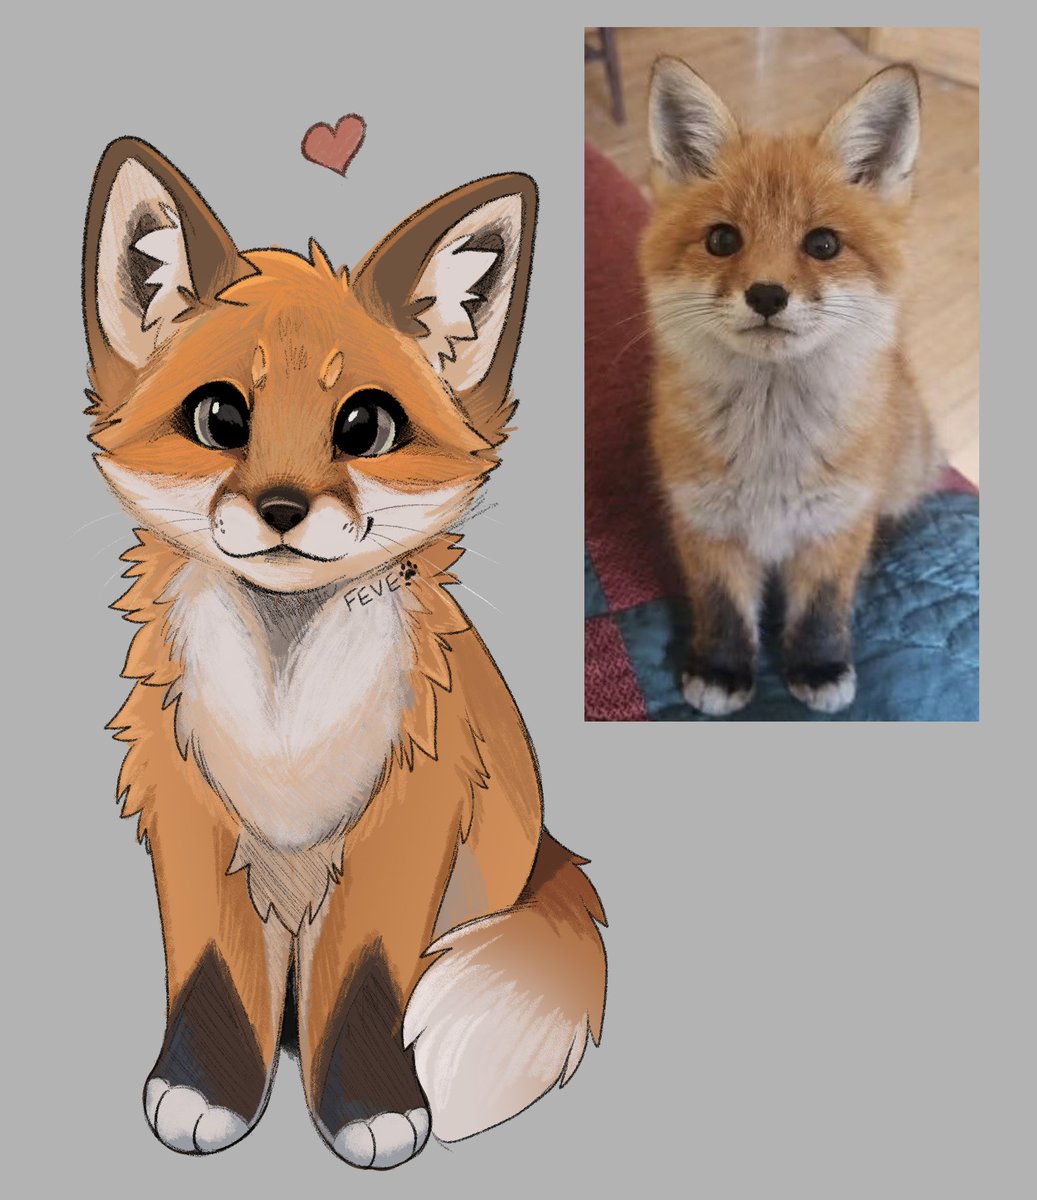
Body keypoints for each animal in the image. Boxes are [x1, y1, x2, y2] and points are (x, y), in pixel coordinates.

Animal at [82, 137, 605, 1167]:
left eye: (365, 426)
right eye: (219, 419)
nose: (283, 509)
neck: (285, 728)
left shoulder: (404, 823)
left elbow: (364, 979)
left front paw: (368, 1104)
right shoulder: (191, 816)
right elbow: (213, 972)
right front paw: (206, 1087)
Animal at [641, 59, 941, 715]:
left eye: (823, 244)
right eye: (722, 240)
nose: (767, 295)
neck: (771, 452)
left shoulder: (836, 525)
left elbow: (823, 609)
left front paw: (819, 666)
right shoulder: (704, 523)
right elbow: (724, 608)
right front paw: (722, 669)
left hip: (901, 475)